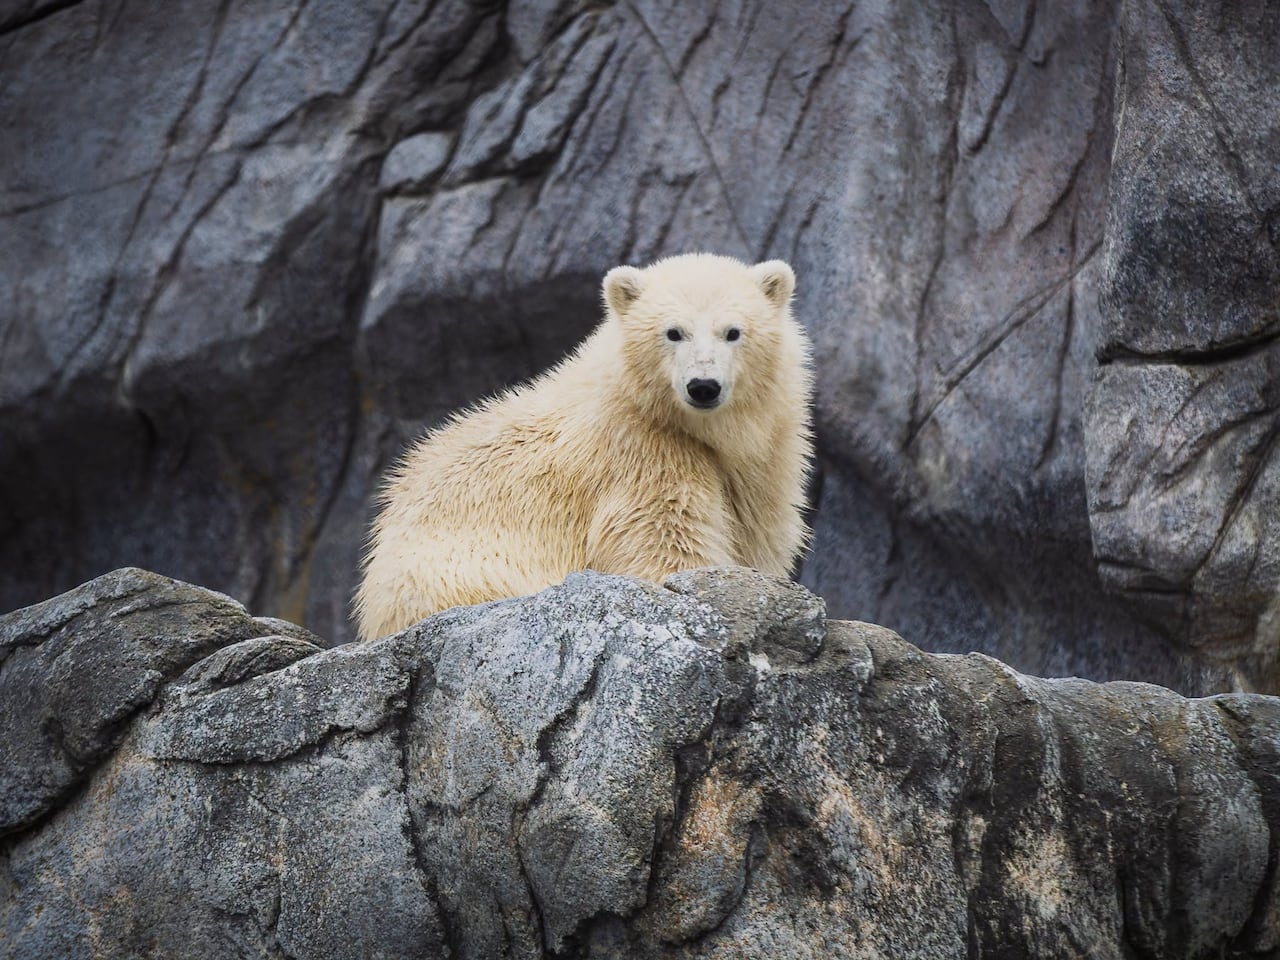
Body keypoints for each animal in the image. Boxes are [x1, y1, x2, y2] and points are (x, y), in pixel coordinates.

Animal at [354, 253, 814, 641]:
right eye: (673, 332)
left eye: (733, 332)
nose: (703, 386)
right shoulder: (639, 450)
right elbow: (662, 540)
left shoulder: (770, 450)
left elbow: (756, 525)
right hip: (452, 569)